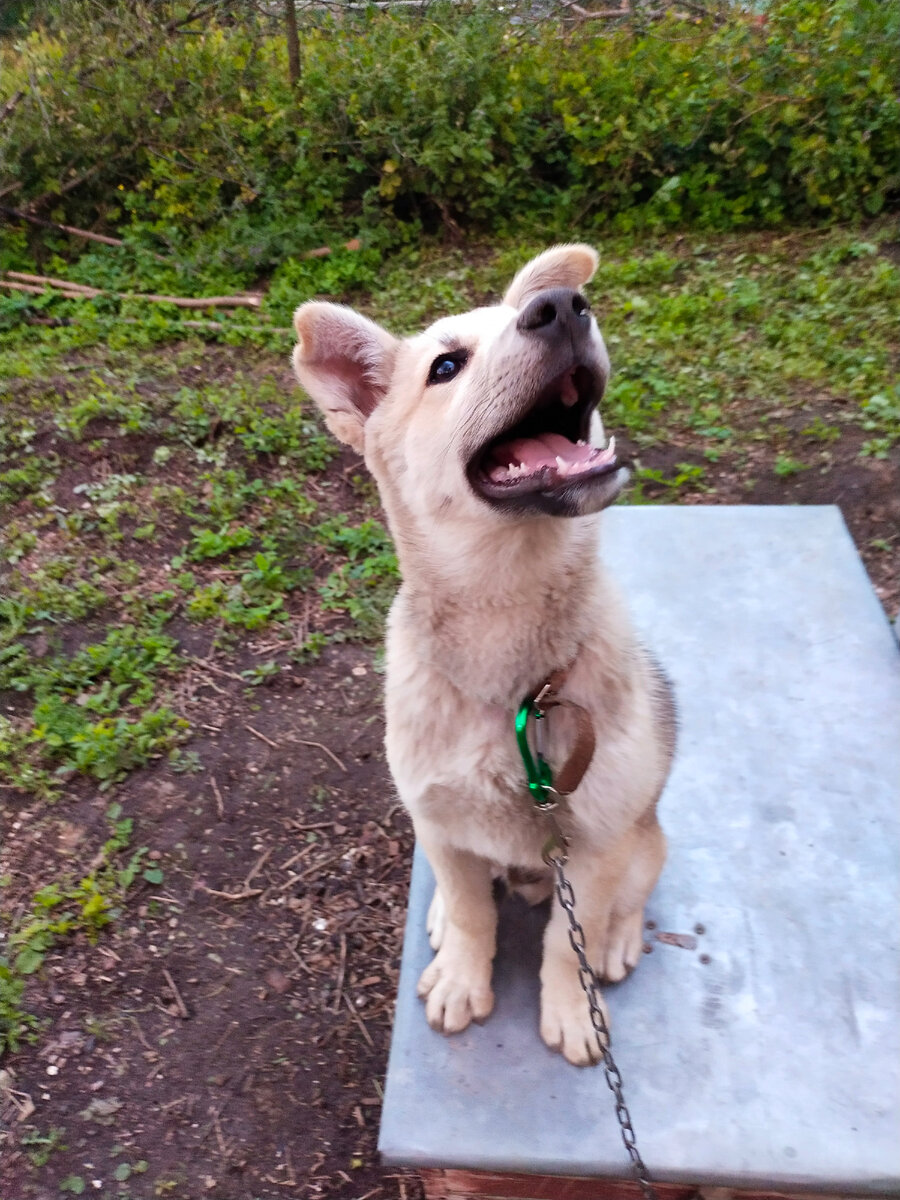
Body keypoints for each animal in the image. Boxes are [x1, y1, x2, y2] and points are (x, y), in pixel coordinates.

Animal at [296, 246, 676, 1070]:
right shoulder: (438, 821)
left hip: (641, 833)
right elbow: (474, 911)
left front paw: (574, 1009)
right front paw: (464, 978)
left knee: (635, 890)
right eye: (445, 366)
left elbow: (568, 942)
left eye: (559, 306)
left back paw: (617, 941)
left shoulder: (595, 845)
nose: (564, 306)